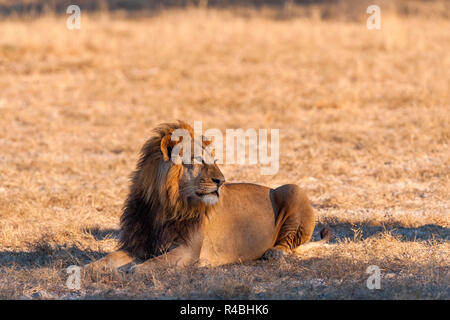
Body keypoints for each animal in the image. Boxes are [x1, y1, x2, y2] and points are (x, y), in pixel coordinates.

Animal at [86, 121, 332, 274]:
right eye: (197, 160)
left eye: (213, 160)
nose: (221, 181)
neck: (165, 206)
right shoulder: (138, 245)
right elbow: (109, 257)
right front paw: (87, 268)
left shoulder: (188, 251)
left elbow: (157, 261)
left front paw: (136, 269)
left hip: (293, 189)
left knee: (289, 243)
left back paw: (274, 252)